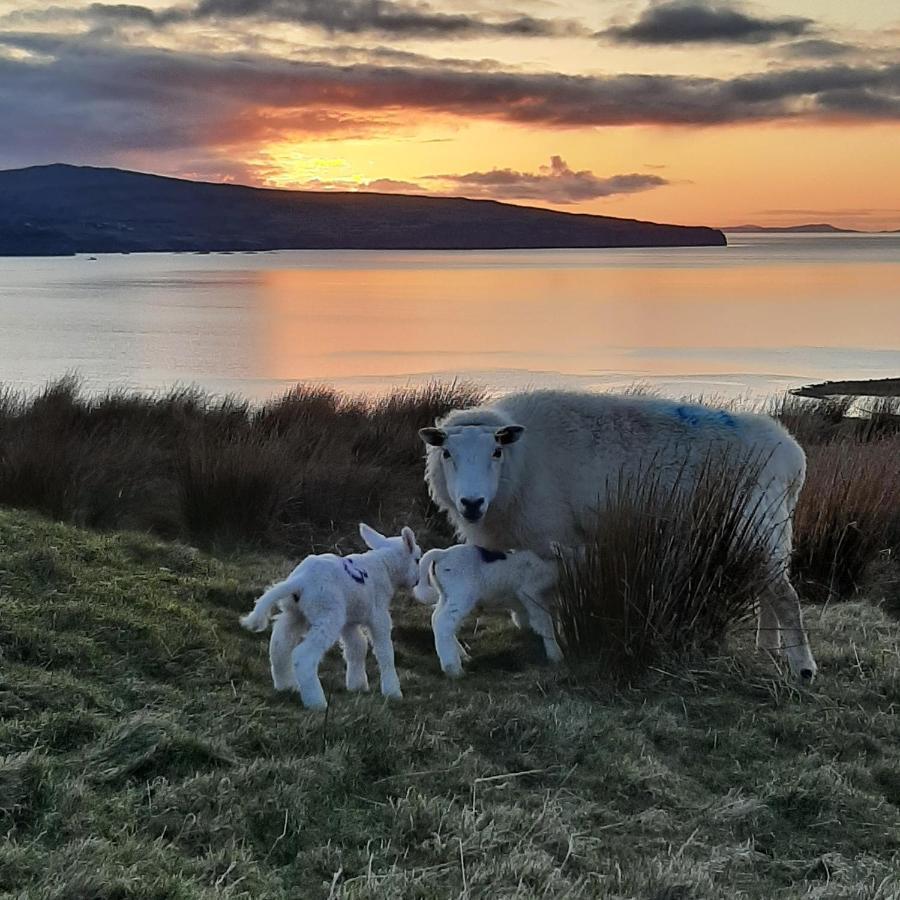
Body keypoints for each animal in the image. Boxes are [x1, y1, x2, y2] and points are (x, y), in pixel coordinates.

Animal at [239, 520, 422, 712]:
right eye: (417, 559)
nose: (417, 580)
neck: (385, 565)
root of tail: (301, 580)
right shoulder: (378, 616)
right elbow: (385, 652)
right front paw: (393, 692)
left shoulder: (349, 621)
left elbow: (357, 647)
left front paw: (357, 685)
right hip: (328, 614)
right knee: (303, 656)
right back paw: (316, 702)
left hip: (295, 614)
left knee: (279, 646)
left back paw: (286, 686)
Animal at [414, 540, 564, 676]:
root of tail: (443, 554)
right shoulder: (532, 593)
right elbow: (545, 623)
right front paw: (555, 655)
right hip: (461, 594)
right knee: (444, 622)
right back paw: (453, 669)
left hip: (446, 595)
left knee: (436, 619)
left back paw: (463, 656)